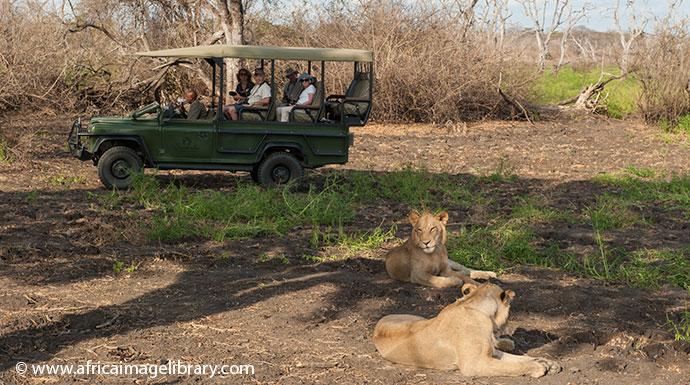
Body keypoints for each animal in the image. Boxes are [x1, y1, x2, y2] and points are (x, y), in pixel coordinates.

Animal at [370, 282, 560, 376]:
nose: (507, 322)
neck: (476, 307)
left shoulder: (490, 354)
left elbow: (520, 359)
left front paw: (547, 362)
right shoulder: (475, 364)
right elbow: (512, 367)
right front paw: (537, 368)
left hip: (421, 319)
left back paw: (507, 342)